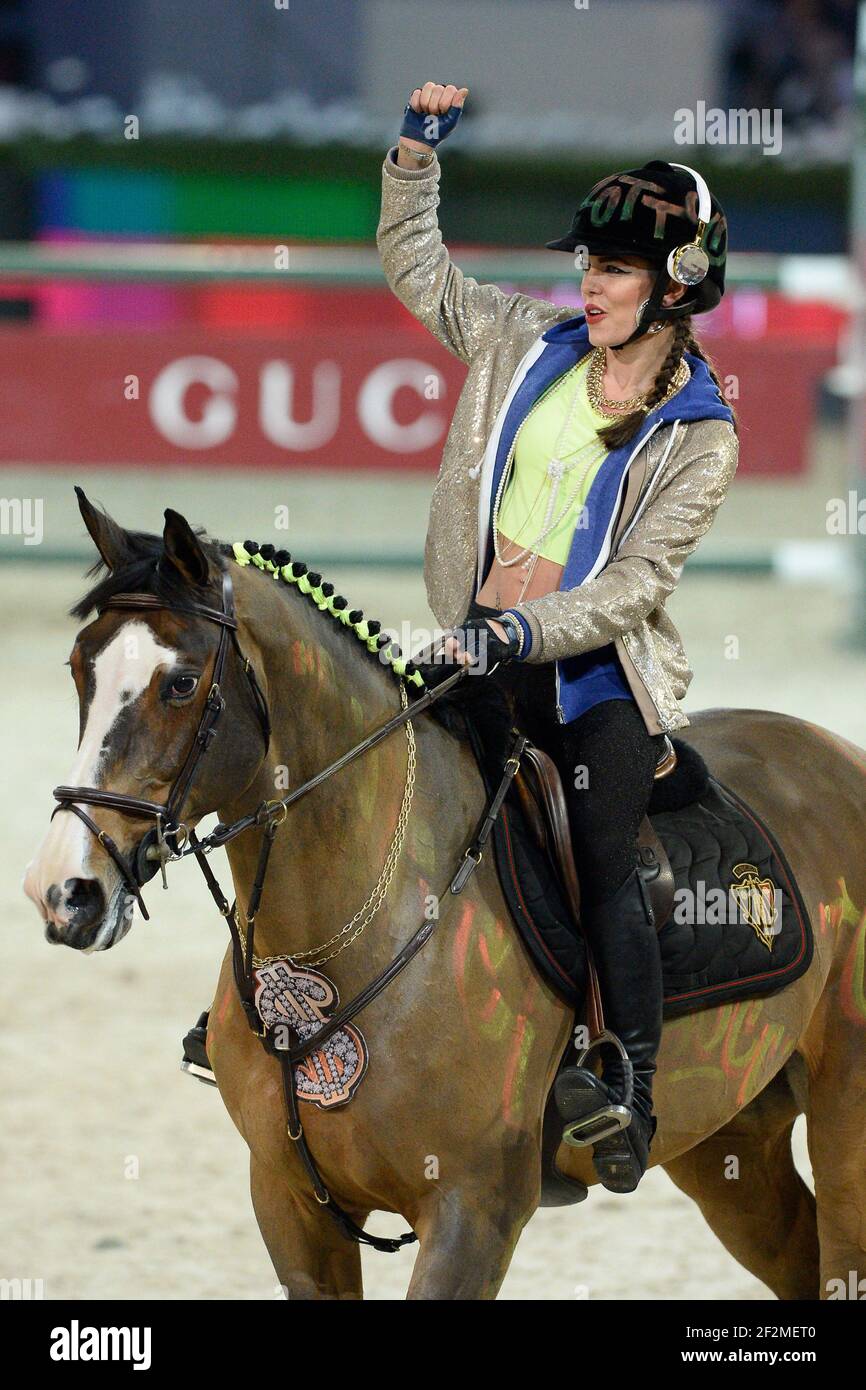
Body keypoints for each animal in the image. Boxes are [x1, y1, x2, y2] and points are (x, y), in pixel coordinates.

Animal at [20, 494, 866, 1295]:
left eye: (181, 684)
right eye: (79, 669)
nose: (63, 891)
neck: (356, 939)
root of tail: (836, 756)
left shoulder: (473, 1211)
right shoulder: (291, 1207)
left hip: (840, 1121)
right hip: (731, 1147)